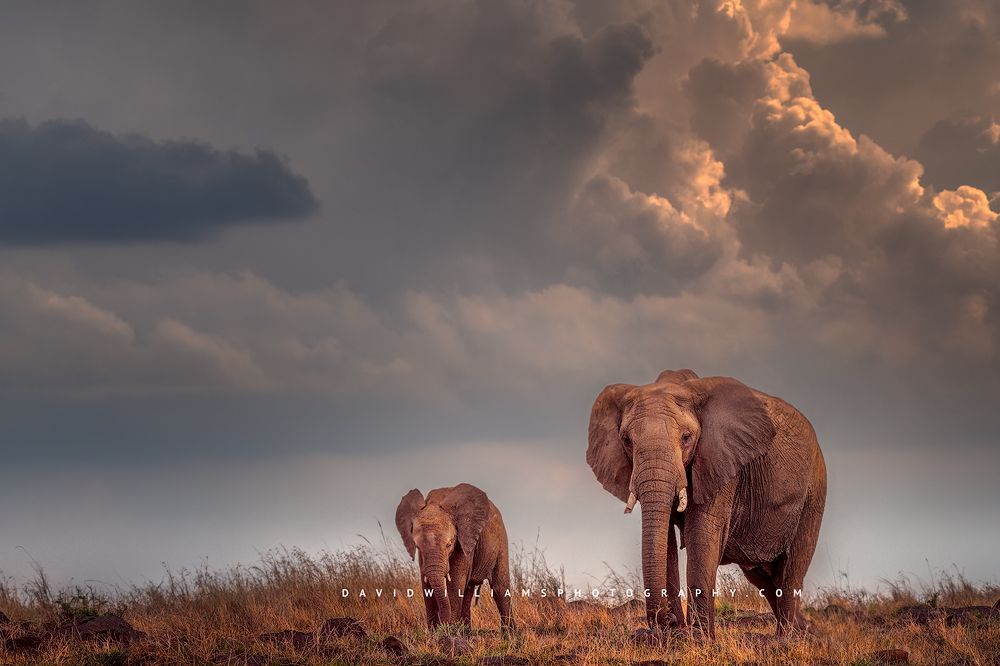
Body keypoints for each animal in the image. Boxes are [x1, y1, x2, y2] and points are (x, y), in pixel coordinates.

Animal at [395, 483, 515, 632]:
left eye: (449, 544)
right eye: (417, 546)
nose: (442, 622)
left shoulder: (463, 539)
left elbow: (455, 582)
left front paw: (448, 631)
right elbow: (426, 584)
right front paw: (435, 632)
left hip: (501, 540)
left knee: (499, 588)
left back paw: (510, 635)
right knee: (468, 591)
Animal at [587, 369, 826, 639]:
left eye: (686, 437)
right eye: (626, 440)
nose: (668, 621)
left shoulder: (721, 460)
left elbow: (701, 533)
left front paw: (698, 637)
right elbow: (666, 540)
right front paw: (673, 635)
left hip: (814, 492)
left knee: (792, 568)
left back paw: (787, 638)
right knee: (763, 578)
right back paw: (804, 630)